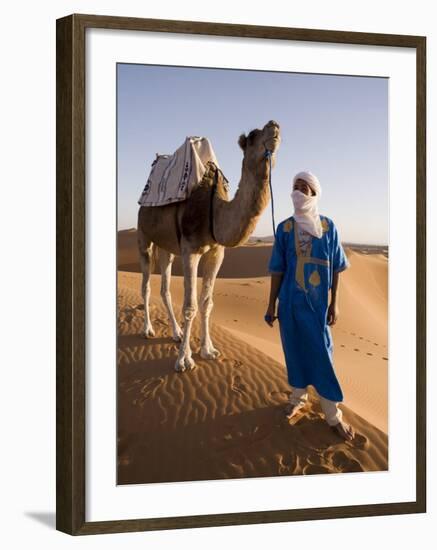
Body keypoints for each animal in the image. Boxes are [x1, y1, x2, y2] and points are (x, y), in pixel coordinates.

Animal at [135, 119, 280, 370]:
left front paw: (208, 350)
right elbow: (190, 305)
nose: (274, 125)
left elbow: (207, 302)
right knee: (146, 286)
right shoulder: (189, 251)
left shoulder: (217, 252)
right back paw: (148, 330)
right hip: (144, 235)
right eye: (253, 135)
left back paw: (176, 333)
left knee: (164, 288)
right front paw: (184, 360)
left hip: (166, 246)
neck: (214, 210)